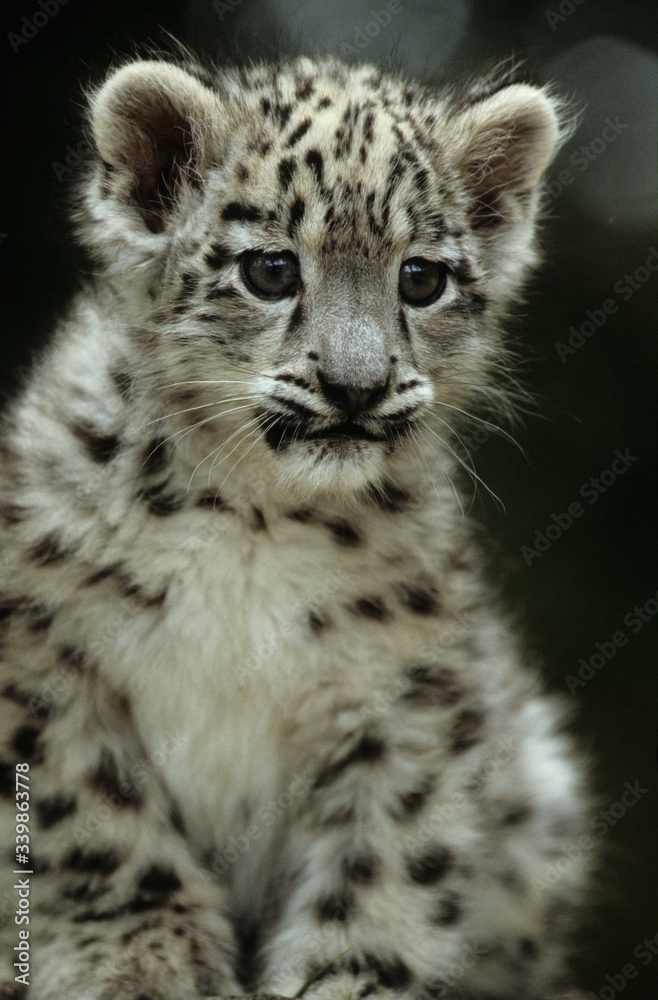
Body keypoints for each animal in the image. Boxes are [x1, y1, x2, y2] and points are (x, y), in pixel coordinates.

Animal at [0, 52, 591, 1000]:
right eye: (272, 270)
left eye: (421, 278)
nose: (357, 386)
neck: (255, 518)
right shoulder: (45, 658)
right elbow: (95, 821)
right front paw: (145, 959)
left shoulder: (406, 698)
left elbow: (388, 857)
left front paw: (351, 976)